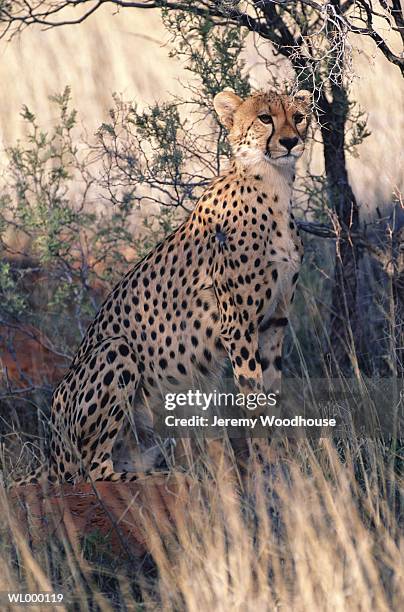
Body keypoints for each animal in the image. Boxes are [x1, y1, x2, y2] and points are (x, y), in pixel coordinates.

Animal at [12, 88, 310, 486]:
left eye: (299, 116)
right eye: (265, 118)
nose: (290, 141)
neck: (273, 186)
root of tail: (49, 456)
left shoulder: (274, 323)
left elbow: (271, 396)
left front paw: (278, 462)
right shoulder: (238, 326)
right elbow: (254, 400)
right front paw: (265, 467)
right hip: (115, 351)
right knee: (93, 469)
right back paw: (164, 477)